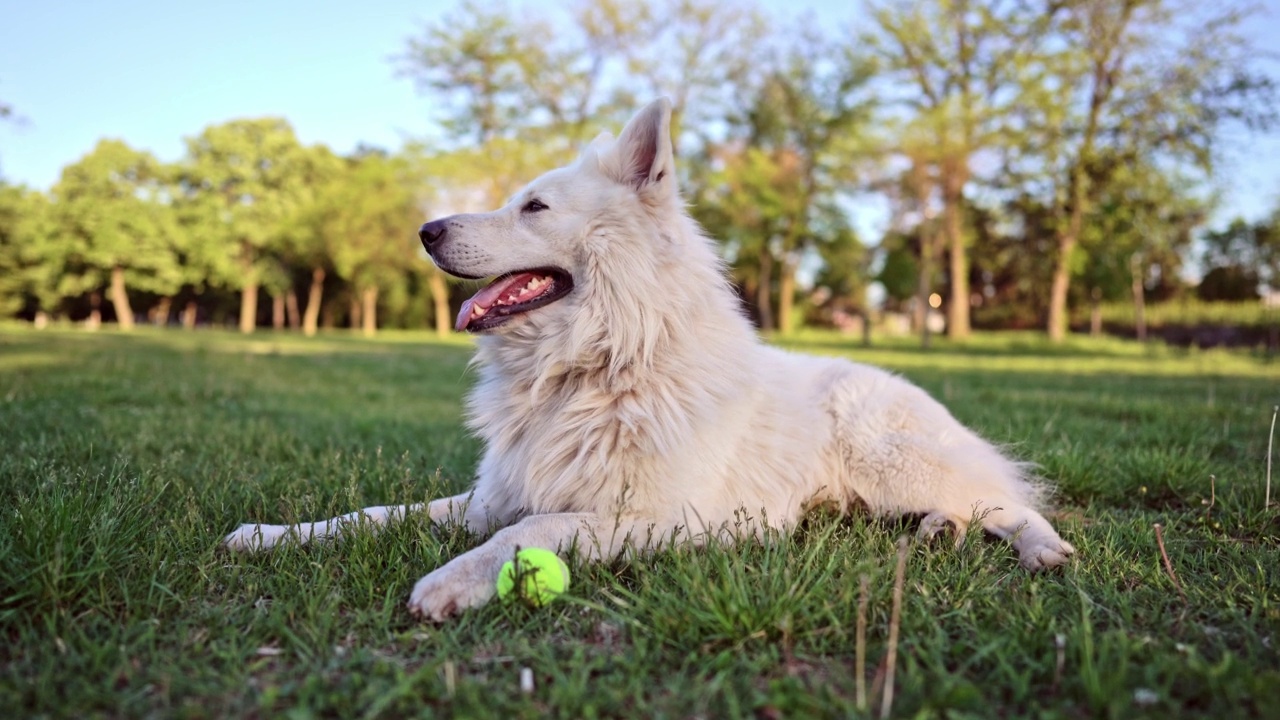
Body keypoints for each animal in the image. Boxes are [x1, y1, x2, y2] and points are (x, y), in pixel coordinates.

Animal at [225, 99, 1075, 617]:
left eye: (533, 206)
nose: (426, 230)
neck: (589, 368)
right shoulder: (492, 496)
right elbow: (373, 514)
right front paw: (272, 536)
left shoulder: (656, 515)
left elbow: (530, 534)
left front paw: (452, 582)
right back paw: (938, 533)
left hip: (890, 461)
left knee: (1010, 505)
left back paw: (1044, 551)